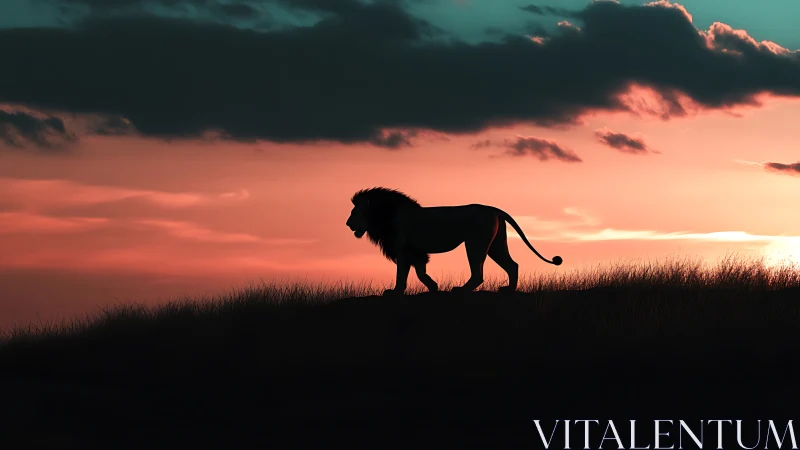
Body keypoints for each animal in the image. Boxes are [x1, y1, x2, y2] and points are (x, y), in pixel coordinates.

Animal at [345, 187, 562, 296]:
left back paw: (461, 290)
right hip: (496, 244)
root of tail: (494, 209)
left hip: (475, 243)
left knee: (478, 274)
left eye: (354, 212)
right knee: (512, 265)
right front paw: (433, 286)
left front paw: (395, 292)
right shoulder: (414, 251)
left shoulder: (403, 250)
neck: (385, 216)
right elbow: (419, 272)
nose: (347, 224)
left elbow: (402, 274)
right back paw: (509, 290)